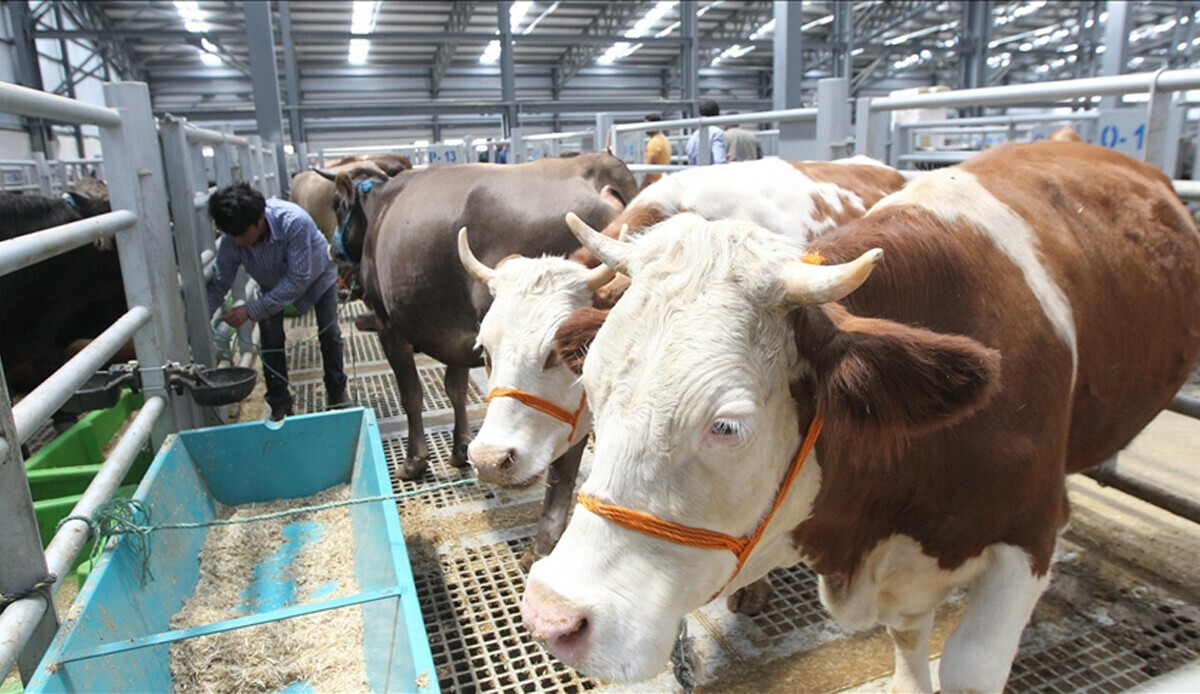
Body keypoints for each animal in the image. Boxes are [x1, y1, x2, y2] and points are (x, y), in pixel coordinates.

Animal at [331, 151, 638, 477]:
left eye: (337, 206)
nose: (332, 253)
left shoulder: (387, 324)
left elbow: (411, 394)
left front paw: (414, 461)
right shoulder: (462, 338)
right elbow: (455, 388)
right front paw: (460, 449)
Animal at [520, 139, 1200, 686]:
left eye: (727, 425)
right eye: (593, 383)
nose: (552, 616)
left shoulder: (1028, 532)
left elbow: (971, 663)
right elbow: (908, 641)